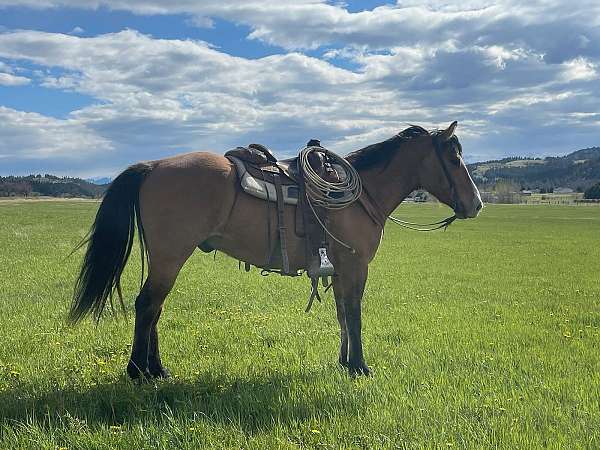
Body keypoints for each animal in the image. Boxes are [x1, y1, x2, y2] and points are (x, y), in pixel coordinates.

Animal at [70, 121, 482, 378]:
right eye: (454, 157)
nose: (476, 204)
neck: (361, 193)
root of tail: (154, 165)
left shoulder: (339, 268)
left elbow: (341, 315)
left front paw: (344, 363)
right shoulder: (355, 265)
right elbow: (354, 314)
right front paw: (360, 367)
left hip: (167, 260)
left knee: (154, 307)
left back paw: (157, 369)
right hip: (170, 258)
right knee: (147, 305)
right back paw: (138, 372)